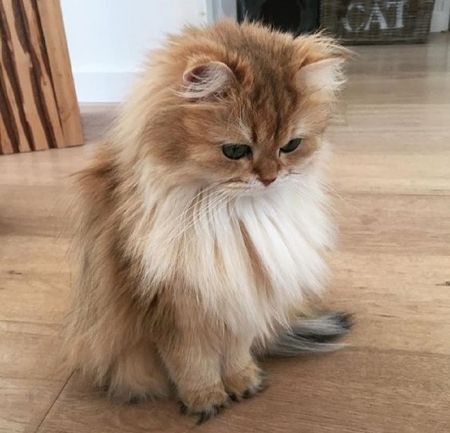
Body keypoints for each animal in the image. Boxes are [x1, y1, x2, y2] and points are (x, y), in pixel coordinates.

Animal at [63, 19, 352, 422]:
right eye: (235, 150)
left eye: (291, 146)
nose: (270, 178)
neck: (233, 215)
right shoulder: (175, 309)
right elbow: (191, 363)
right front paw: (205, 398)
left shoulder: (243, 294)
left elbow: (235, 353)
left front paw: (243, 381)